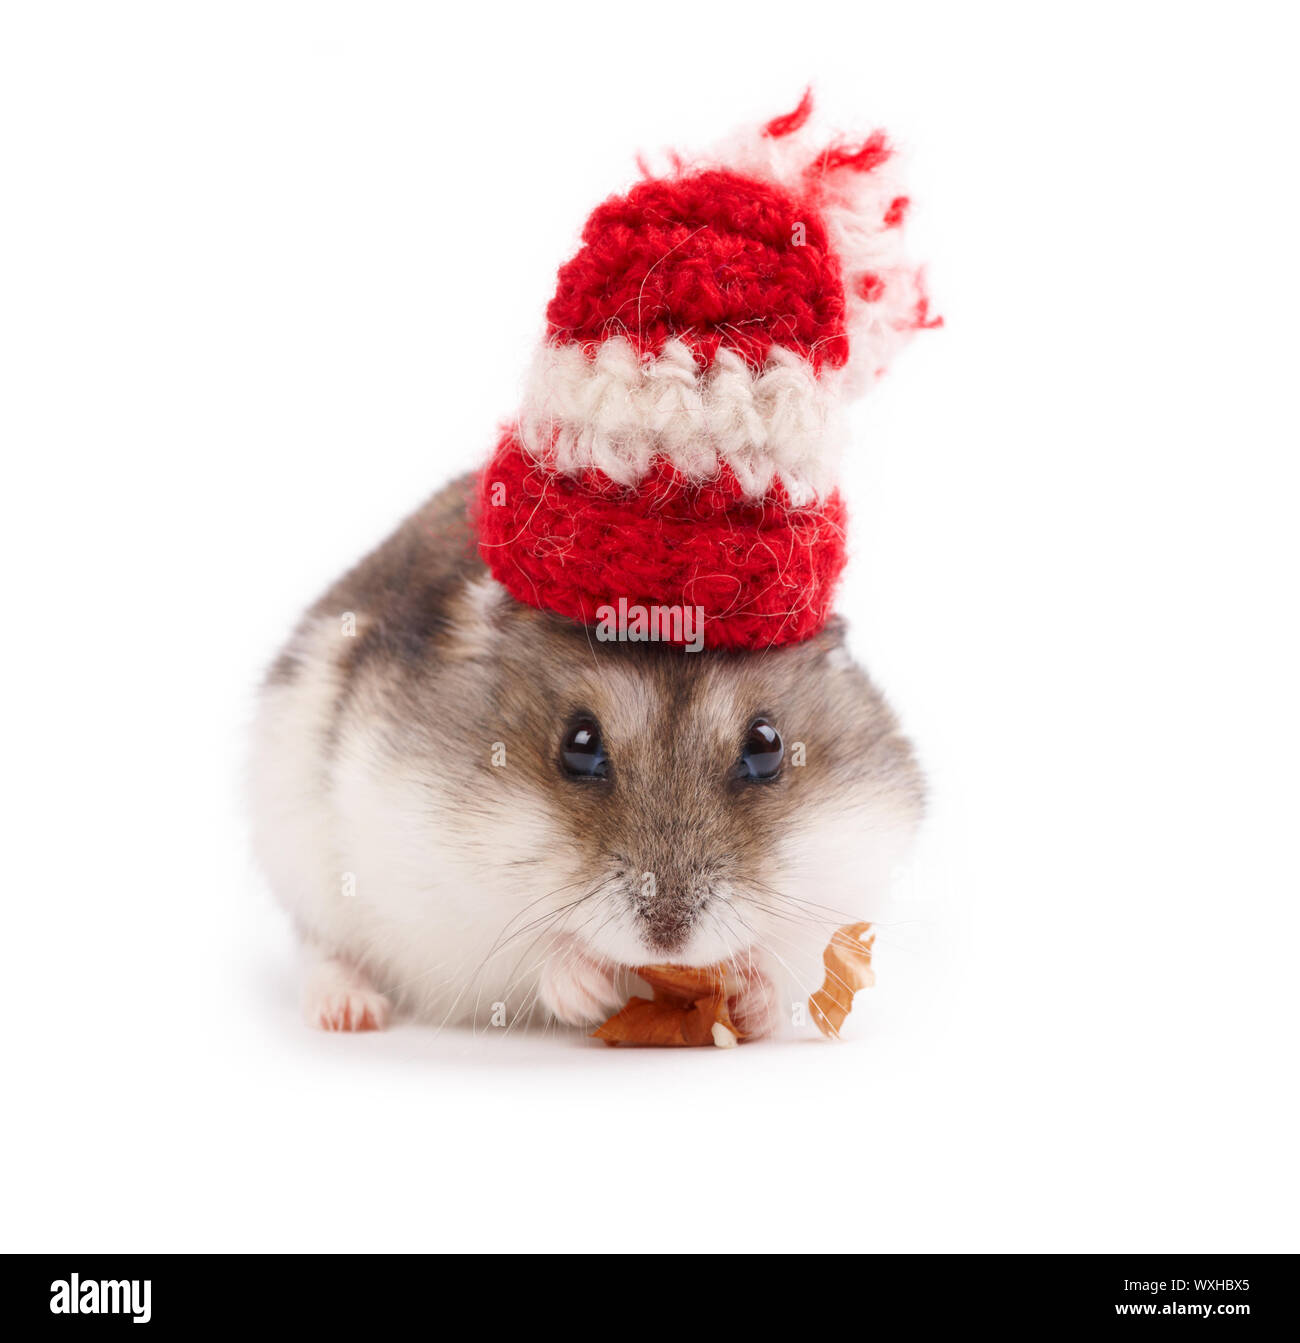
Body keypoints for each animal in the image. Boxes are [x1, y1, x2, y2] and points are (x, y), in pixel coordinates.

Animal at [249, 474, 924, 1035]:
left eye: (766, 749)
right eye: (579, 747)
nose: (667, 940)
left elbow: (785, 964)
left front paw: (748, 995)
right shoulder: (430, 891)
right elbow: (535, 950)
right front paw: (589, 990)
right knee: (320, 945)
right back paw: (349, 1013)